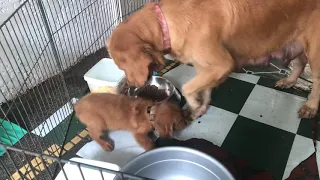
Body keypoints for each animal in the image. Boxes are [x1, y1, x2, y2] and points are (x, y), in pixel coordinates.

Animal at [107, 0, 320, 119]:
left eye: (121, 66)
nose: (129, 87)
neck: (164, 22)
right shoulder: (205, 67)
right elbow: (203, 88)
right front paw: (201, 107)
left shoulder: (221, 65)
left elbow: (187, 87)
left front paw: (193, 105)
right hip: (296, 43)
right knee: (300, 63)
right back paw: (289, 81)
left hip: (315, 51)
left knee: (317, 81)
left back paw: (310, 107)